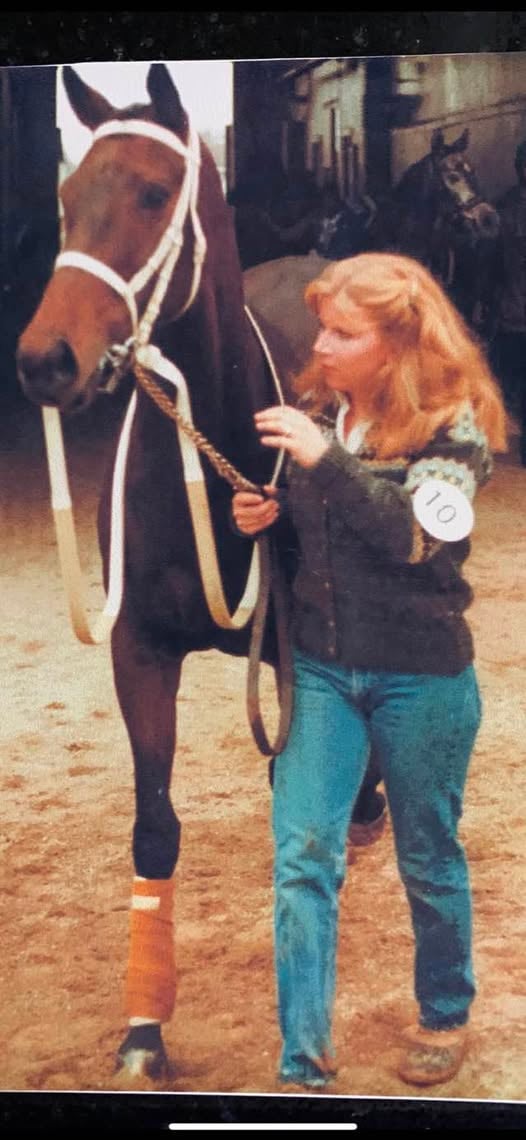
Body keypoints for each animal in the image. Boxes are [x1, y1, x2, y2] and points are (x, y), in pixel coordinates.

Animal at [15, 63, 347, 1082]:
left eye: (155, 194)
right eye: (67, 200)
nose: (45, 360)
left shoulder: (294, 661)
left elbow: (301, 815)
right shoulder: (141, 653)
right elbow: (154, 829)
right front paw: (142, 1034)